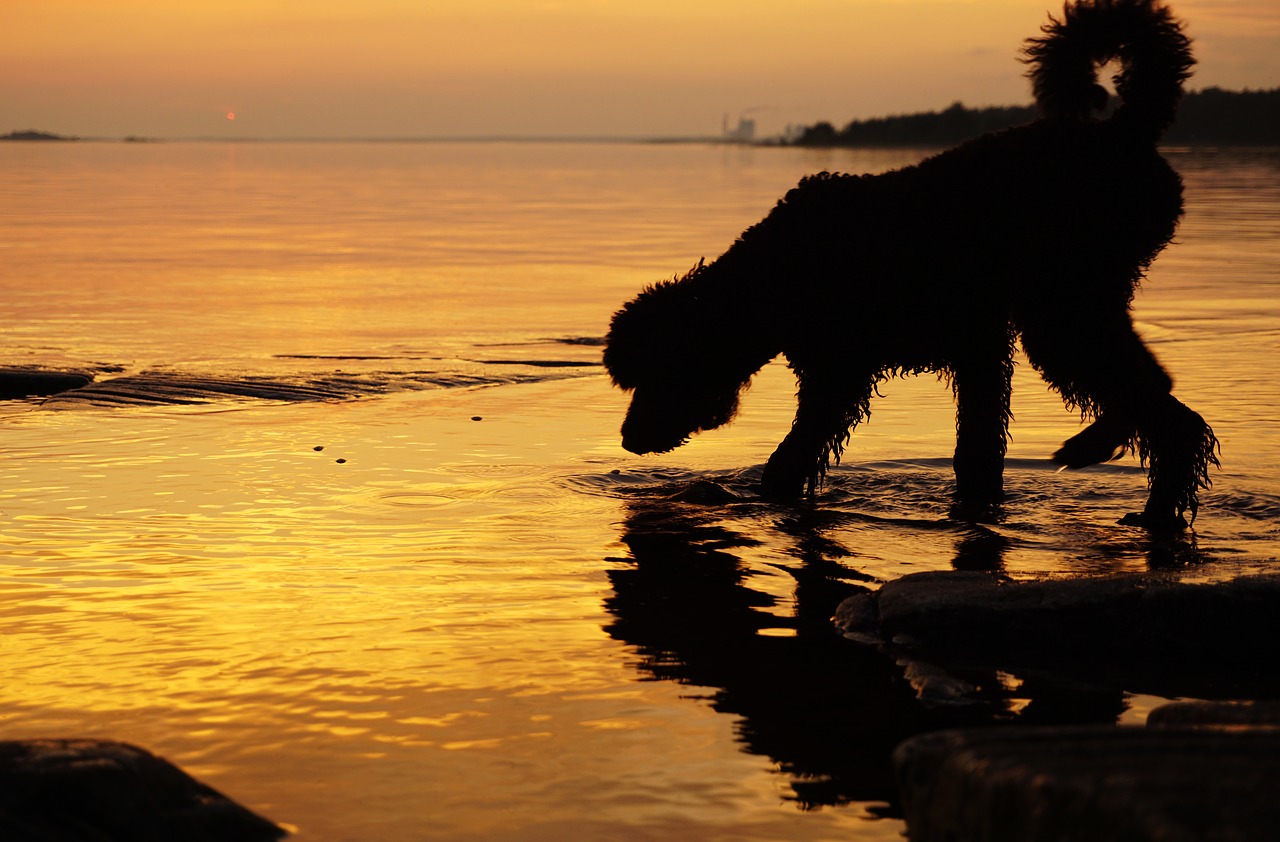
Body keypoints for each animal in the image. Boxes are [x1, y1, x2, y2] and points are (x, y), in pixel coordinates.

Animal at [599, 0, 1218, 524]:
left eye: (652, 373)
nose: (628, 438)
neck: (768, 278)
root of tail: (1126, 130)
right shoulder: (976, 351)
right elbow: (976, 451)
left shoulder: (840, 373)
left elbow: (794, 455)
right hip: (1086, 302)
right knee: (1154, 388)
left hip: (1063, 310)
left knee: (1166, 413)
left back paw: (1132, 482)